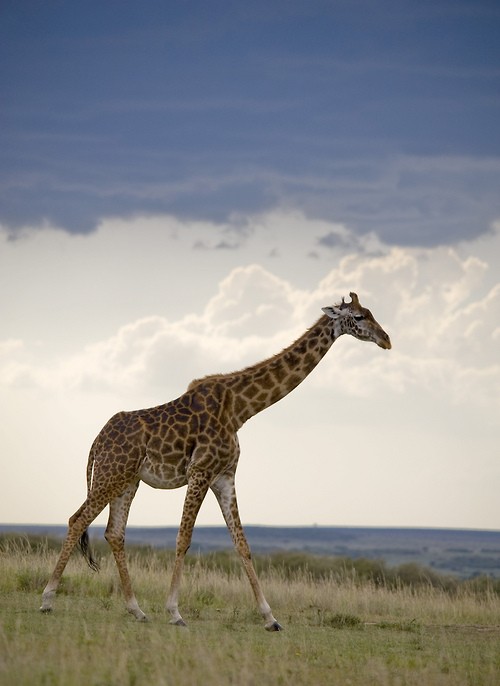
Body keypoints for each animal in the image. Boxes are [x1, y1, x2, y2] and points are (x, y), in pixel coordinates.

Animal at [39, 292, 390, 632]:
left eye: (372, 312)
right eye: (359, 316)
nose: (386, 340)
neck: (240, 410)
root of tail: (97, 440)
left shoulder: (225, 475)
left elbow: (242, 543)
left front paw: (270, 618)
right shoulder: (200, 471)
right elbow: (183, 539)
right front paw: (175, 612)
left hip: (128, 480)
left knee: (114, 532)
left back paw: (136, 610)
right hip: (110, 474)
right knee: (77, 520)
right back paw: (47, 599)